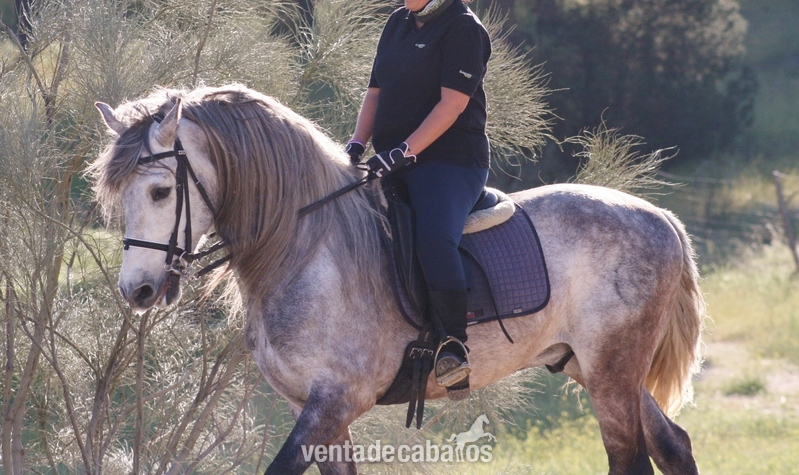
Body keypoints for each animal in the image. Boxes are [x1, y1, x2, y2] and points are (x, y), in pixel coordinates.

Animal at [89, 84, 705, 475]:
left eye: (161, 191)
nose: (136, 291)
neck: (306, 249)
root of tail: (660, 218)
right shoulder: (318, 411)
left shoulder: (333, 402)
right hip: (594, 368)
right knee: (672, 446)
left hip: (610, 373)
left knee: (632, 460)